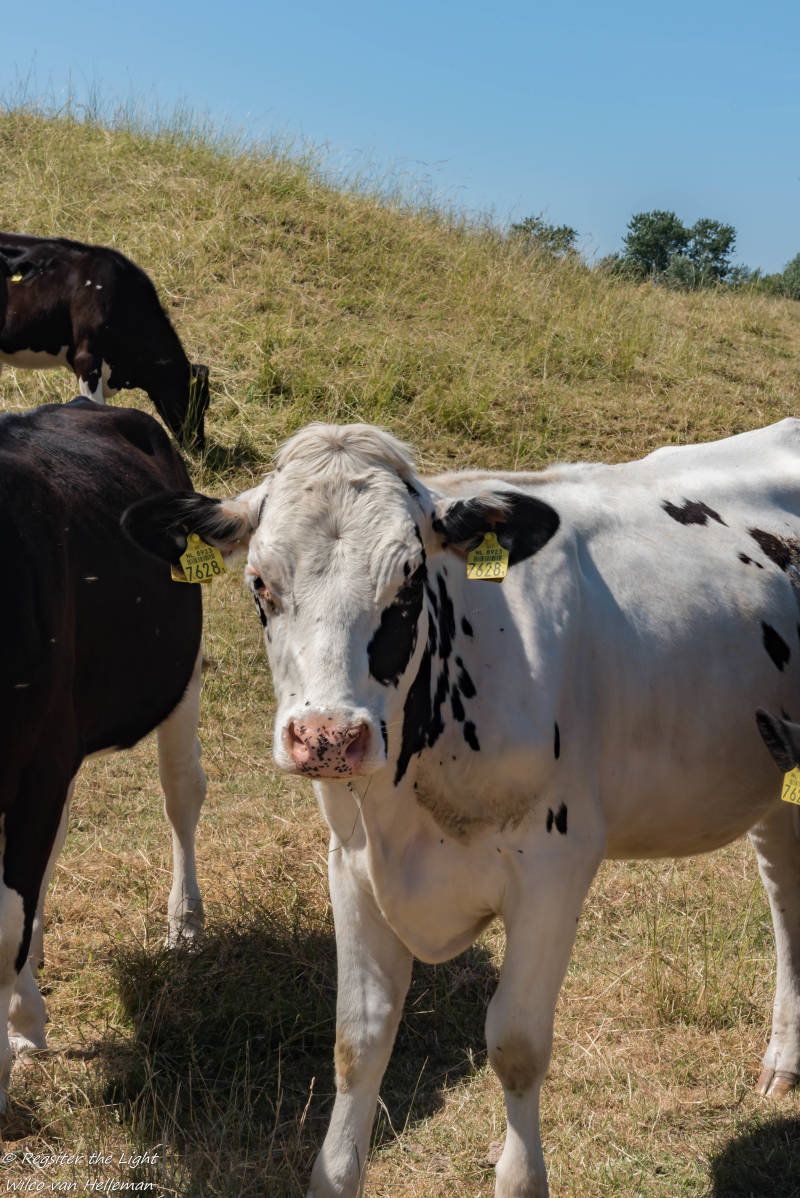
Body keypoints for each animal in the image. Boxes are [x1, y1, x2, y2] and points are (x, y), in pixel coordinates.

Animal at [123, 418, 800, 1198]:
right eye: (260, 581)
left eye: (410, 580)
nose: (328, 737)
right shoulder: (353, 864)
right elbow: (358, 1040)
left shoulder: (555, 869)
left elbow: (516, 1043)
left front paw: (521, 1177)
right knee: (786, 896)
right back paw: (783, 1061)